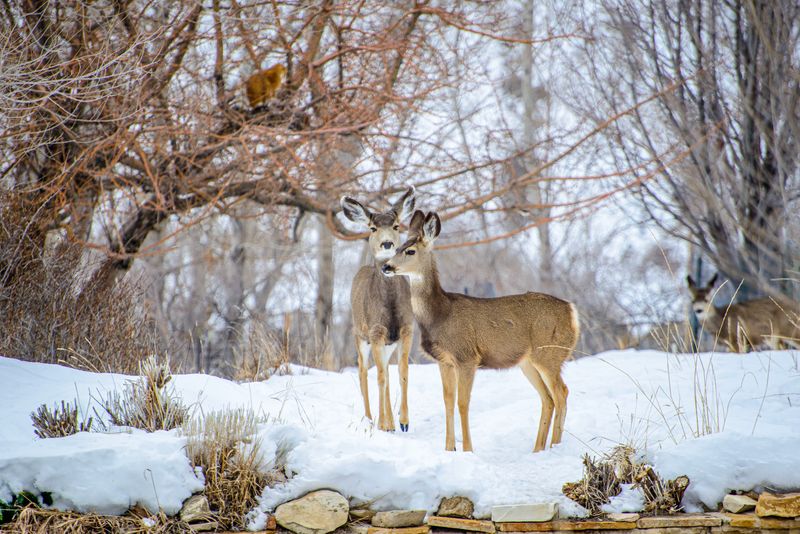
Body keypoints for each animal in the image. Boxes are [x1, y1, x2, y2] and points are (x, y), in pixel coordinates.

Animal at [341, 187, 416, 432]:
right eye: (373, 228)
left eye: (397, 226)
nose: (387, 244)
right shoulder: (375, 331)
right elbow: (380, 377)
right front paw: (385, 424)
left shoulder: (407, 329)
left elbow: (402, 372)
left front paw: (403, 422)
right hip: (359, 335)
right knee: (363, 371)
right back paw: (370, 419)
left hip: (387, 344)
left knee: (387, 373)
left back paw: (389, 421)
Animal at [382, 210, 580, 452]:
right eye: (396, 248)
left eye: (410, 251)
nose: (386, 267)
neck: (440, 314)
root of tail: (572, 312)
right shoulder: (444, 360)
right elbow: (448, 401)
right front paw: (449, 449)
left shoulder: (466, 356)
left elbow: (462, 402)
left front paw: (468, 449)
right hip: (528, 362)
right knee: (548, 398)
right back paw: (538, 449)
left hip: (549, 352)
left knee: (561, 393)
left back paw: (555, 446)